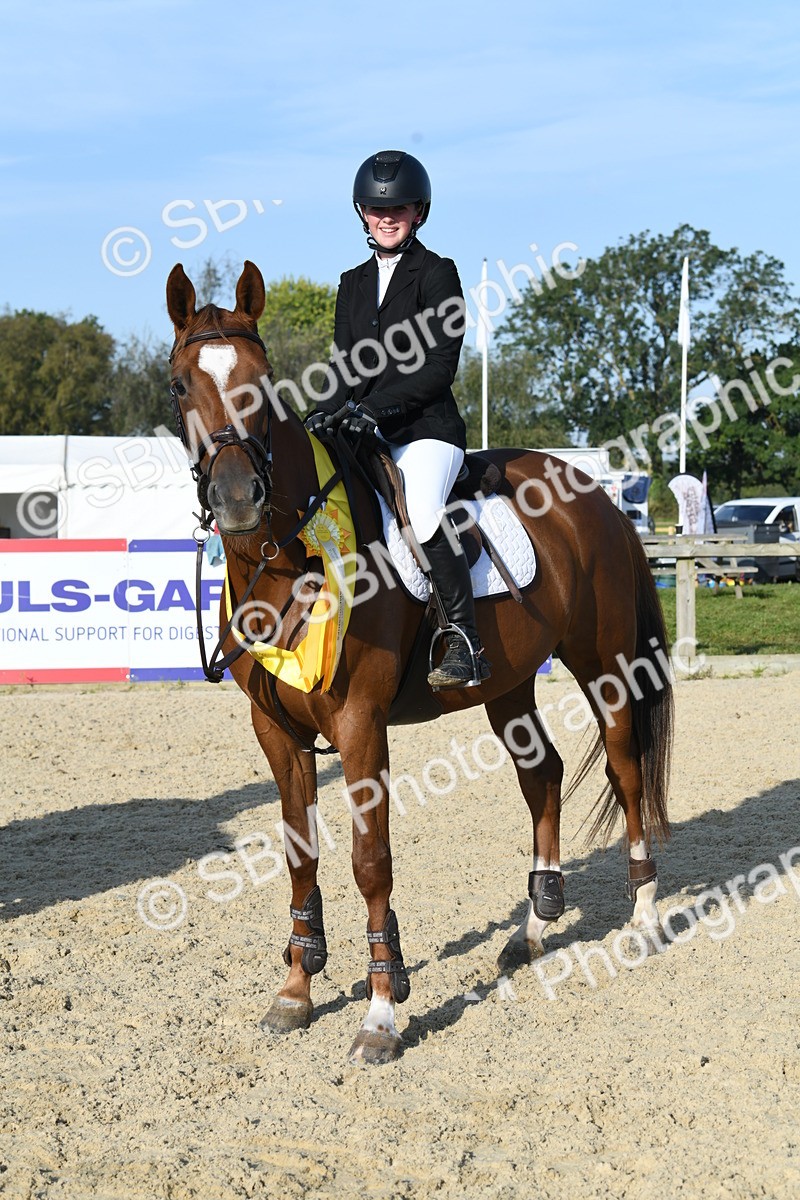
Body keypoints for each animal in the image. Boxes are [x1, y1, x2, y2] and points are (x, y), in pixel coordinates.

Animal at [165, 260, 673, 1065]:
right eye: (182, 384)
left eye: (264, 378)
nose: (238, 497)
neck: (284, 563)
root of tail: (595, 495)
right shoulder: (275, 729)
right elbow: (300, 856)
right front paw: (296, 990)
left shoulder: (360, 724)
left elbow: (369, 861)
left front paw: (380, 1013)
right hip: (508, 684)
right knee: (543, 775)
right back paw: (534, 928)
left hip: (606, 665)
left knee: (625, 770)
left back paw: (644, 916)